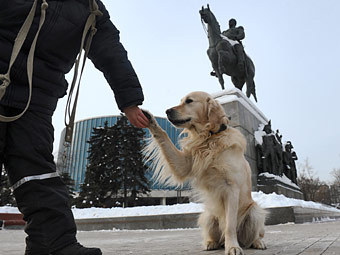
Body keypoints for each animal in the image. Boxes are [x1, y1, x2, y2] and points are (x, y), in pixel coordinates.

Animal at [143, 90, 266, 254]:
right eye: (180, 101)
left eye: (189, 101)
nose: (167, 111)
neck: (209, 137)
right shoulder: (184, 165)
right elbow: (163, 136)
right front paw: (150, 119)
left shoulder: (231, 188)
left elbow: (230, 225)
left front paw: (233, 247)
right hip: (208, 215)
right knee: (215, 236)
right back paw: (210, 243)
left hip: (255, 212)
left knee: (254, 235)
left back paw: (257, 242)